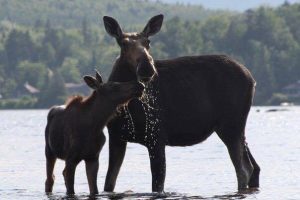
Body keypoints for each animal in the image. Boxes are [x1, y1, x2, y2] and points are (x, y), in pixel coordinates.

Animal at [102, 14, 258, 192]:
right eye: (123, 43)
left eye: (148, 42)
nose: (147, 67)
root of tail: (251, 79)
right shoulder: (116, 137)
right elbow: (108, 183)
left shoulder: (156, 136)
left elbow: (157, 185)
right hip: (234, 128)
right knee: (253, 167)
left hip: (231, 125)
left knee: (245, 169)